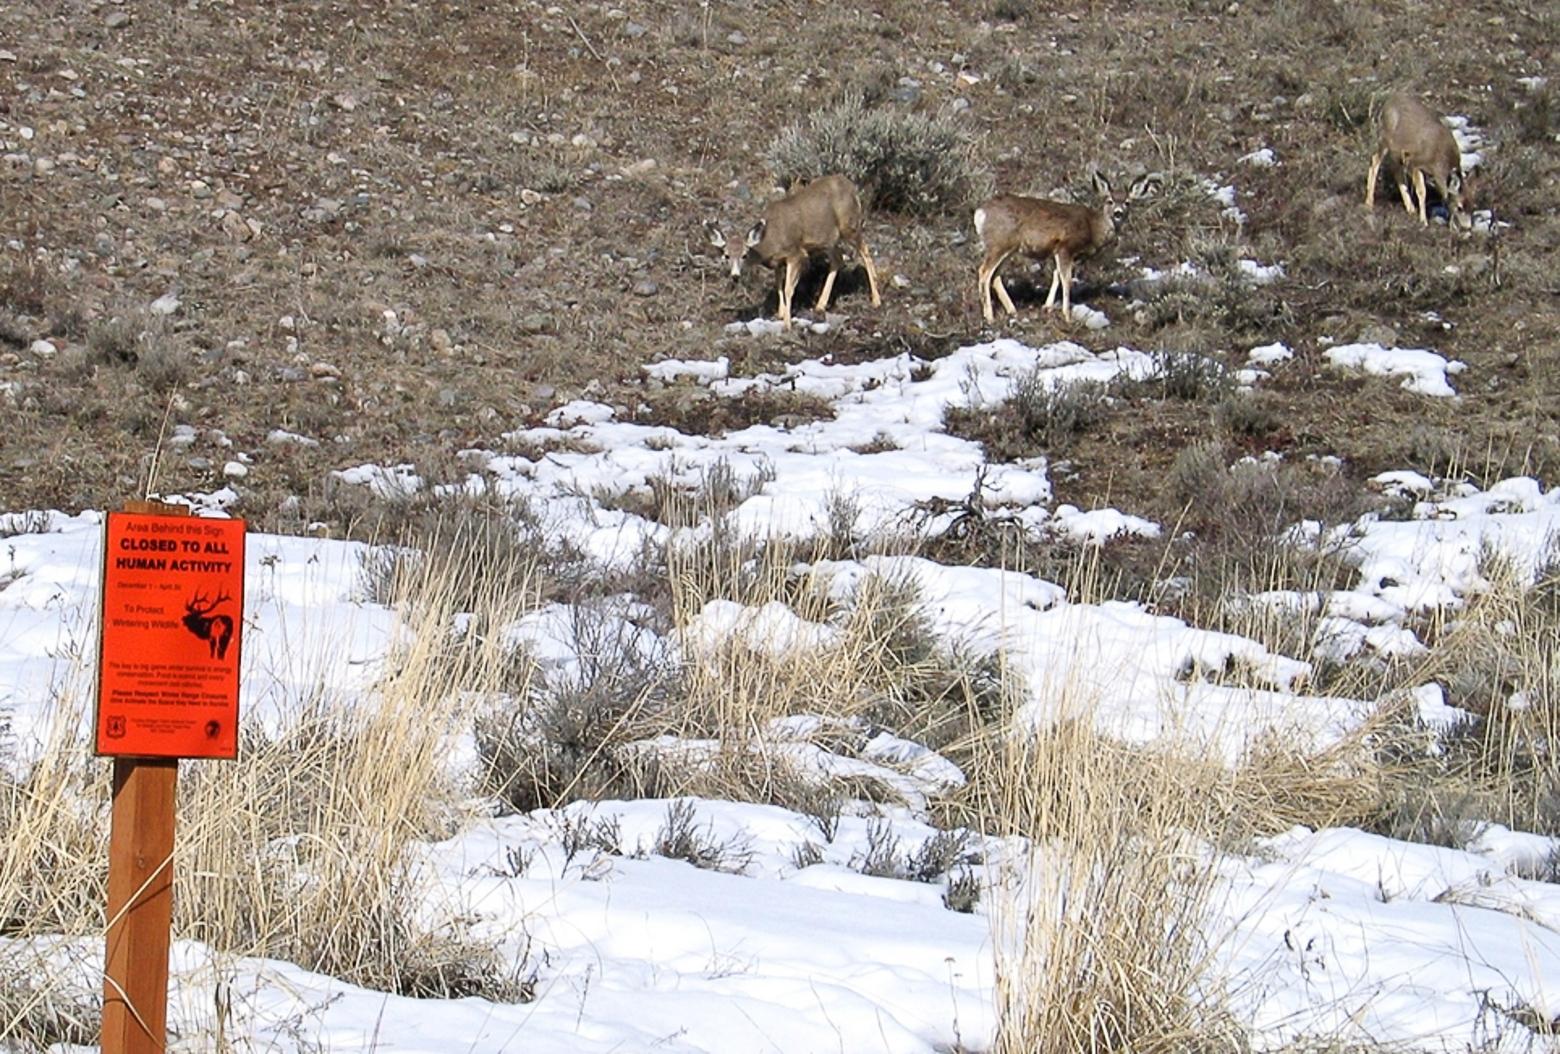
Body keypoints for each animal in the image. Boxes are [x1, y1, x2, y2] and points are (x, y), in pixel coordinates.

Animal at [705, 173, 879, 328]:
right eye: (726, 255)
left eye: (744, 255)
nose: (735, 276)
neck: (770, 241)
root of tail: (852, 187)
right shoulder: (778, 261)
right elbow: (778, 285)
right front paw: (781, 313)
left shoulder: (796, 254)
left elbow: (789, 288)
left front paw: (787, 324)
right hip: (828, 240)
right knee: (838, 258)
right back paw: (820, 305)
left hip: (850, 225)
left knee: (865, 250)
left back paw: (876, 300)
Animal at [967, 169, 1166, 321]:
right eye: (1109, 201)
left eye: (1127, 202)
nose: (1118, 213)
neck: (1092, 227)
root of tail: (980, 213)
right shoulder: (1066, 246)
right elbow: (1066, 279)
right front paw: (1067, 315)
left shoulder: (1061, 252)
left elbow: (1056, 276)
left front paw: (1047, 306)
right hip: (999, 242)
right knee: (984, 272)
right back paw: (989, 316)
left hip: (1008, 247)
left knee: (995, 275)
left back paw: (1012, 310)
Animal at [1366, 91, 1472, 230]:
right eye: (1460, 207)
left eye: (1472, 206)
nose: (1467, 227)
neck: (1439, 161)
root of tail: (1388, 102)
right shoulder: (1415, 163)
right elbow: (1422, 191)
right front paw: (1424, 221)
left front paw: (1451, 226)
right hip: (1385, 139)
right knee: (1375, 161)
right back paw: (1369, 203)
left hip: (1397, 151)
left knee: (1396, 170)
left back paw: (1410, 208)